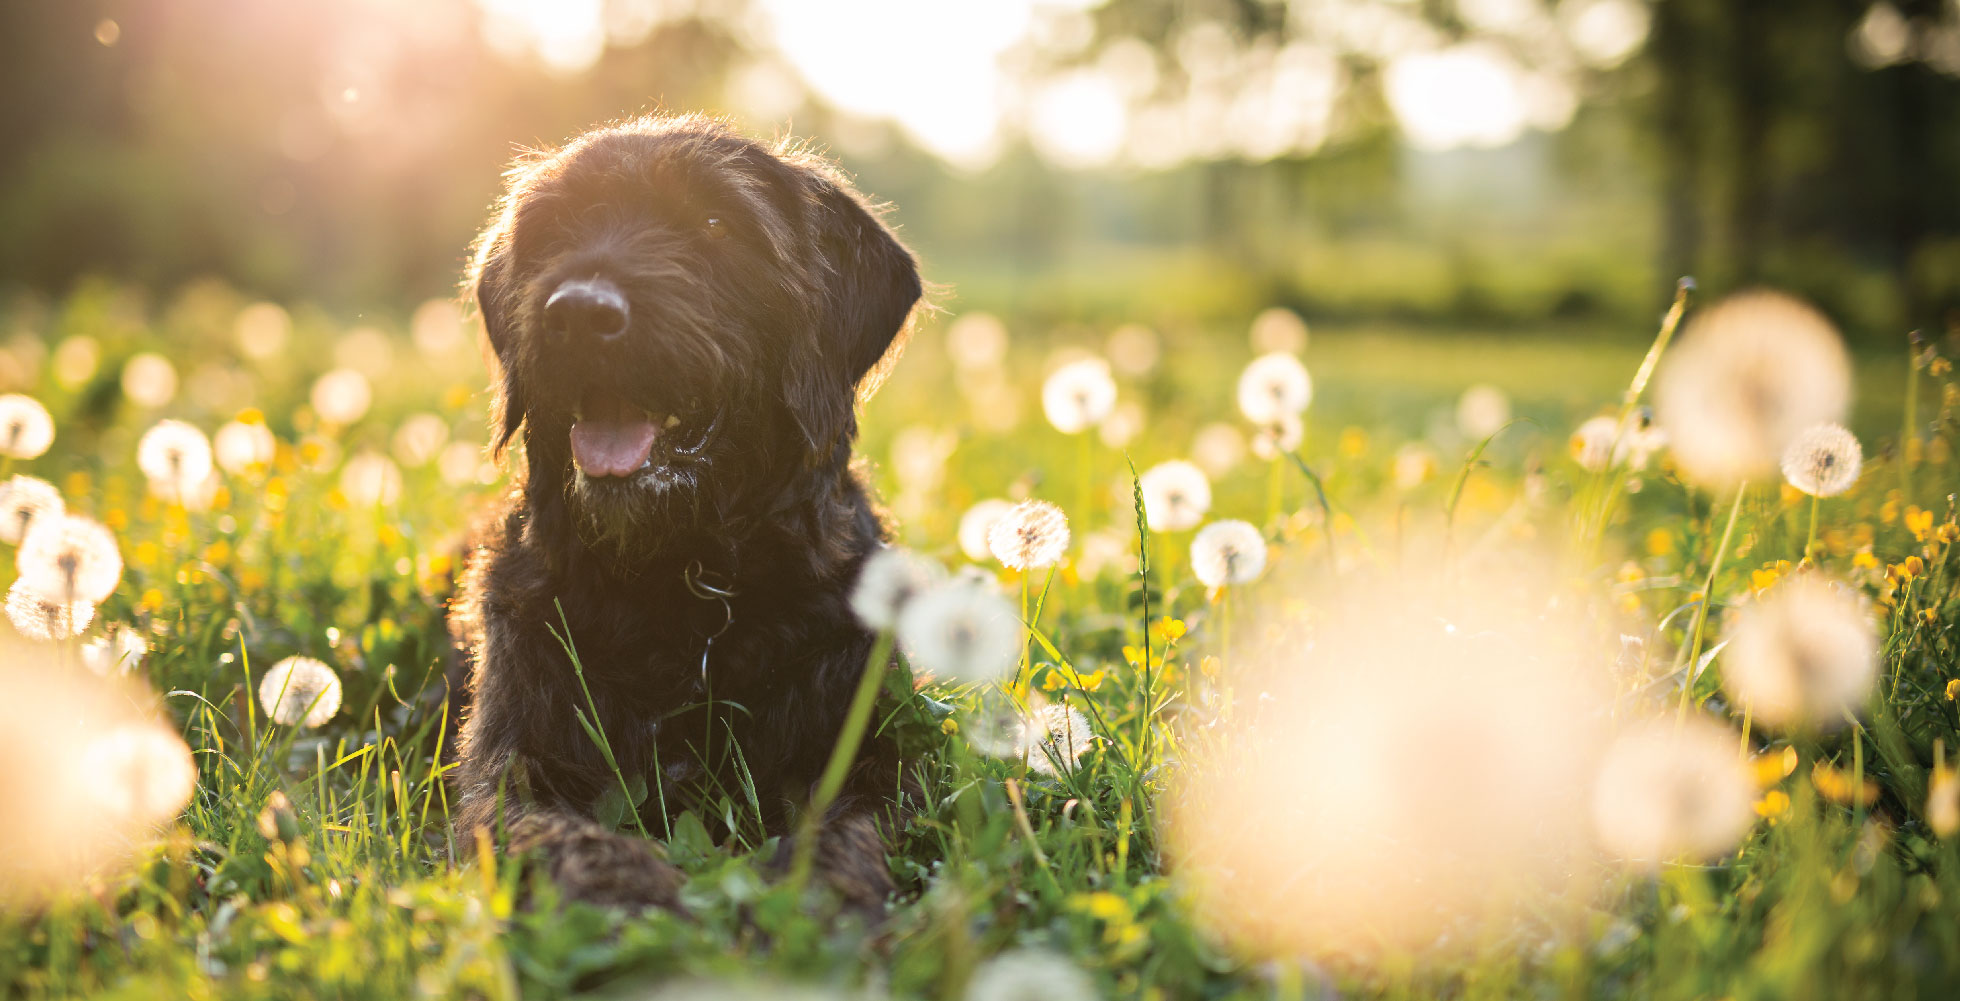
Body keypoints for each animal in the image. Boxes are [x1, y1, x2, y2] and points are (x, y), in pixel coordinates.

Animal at [449, 115, 921, 914]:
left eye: (715, 224)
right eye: (554, 230)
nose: (579, 312)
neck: (685, 587)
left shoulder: (882, 754)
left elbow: (849, 829)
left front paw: (808, 902)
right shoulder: (509, 764)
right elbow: (554, 830)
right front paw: (629, 896)